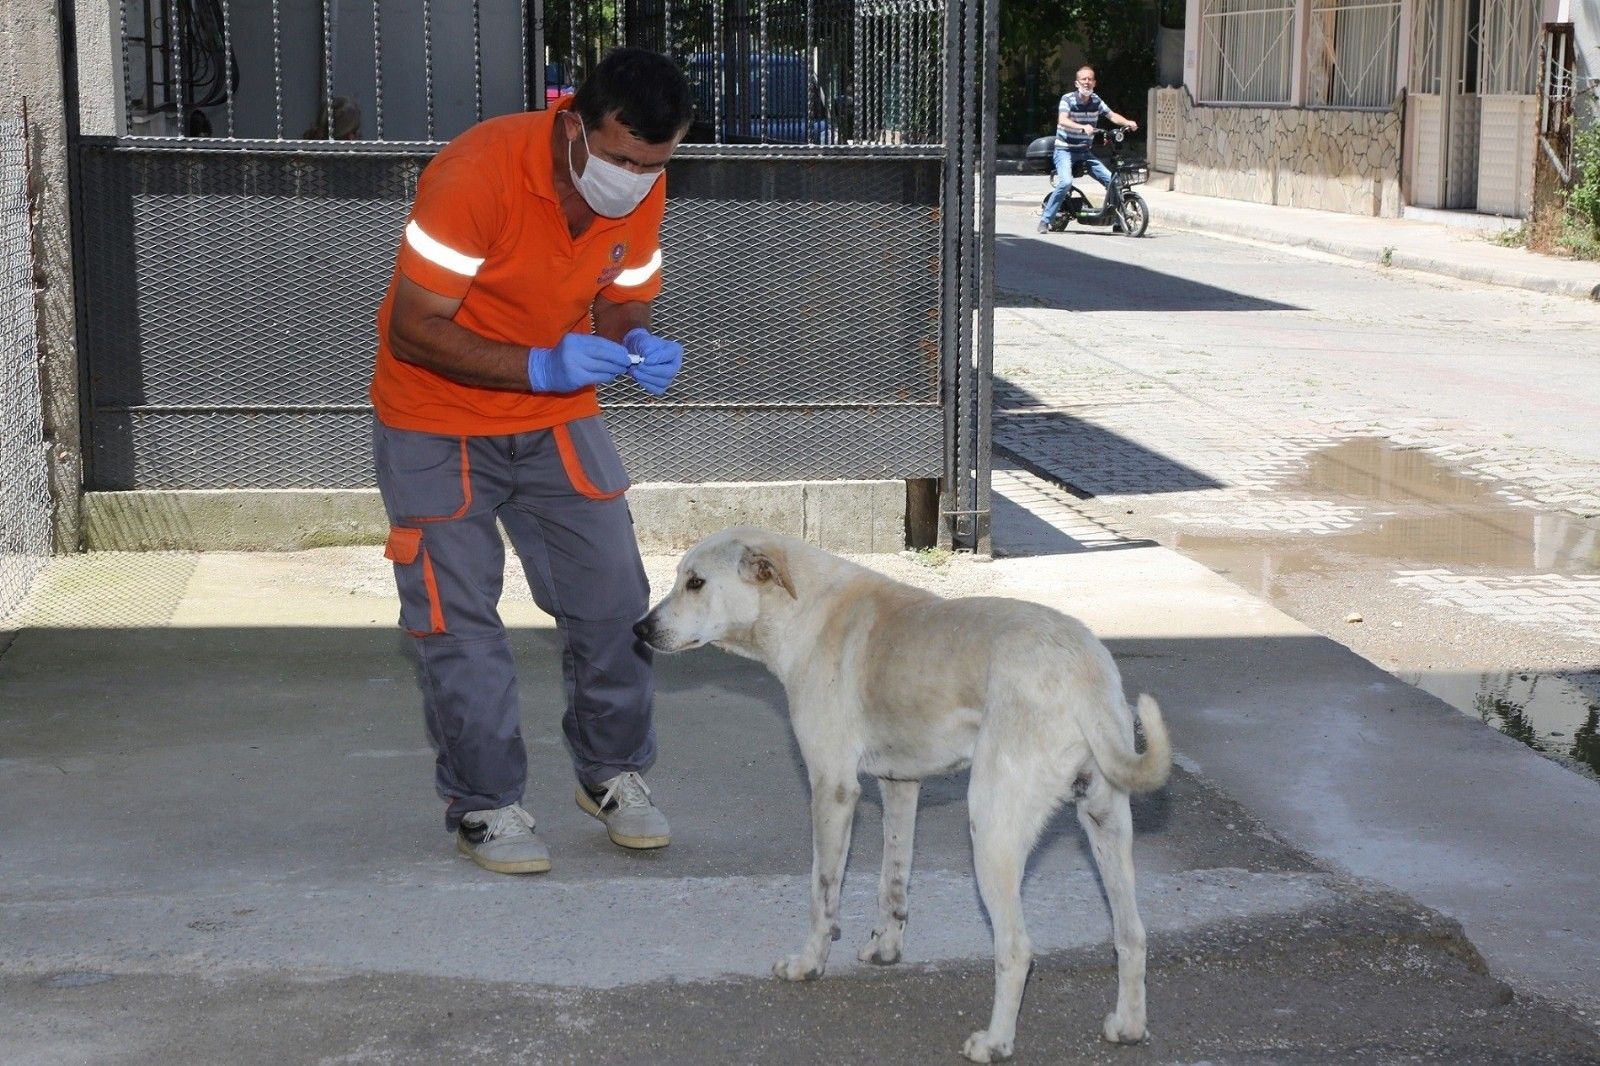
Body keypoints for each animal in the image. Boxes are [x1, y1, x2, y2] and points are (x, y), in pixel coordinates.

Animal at [634, 527, 1172, 1062]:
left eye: (696, 582)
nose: (640, 629)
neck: (806, 610)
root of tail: (1085, 667)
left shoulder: (832, 789)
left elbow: (822, 893)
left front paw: (809, 963)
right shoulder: (900, 787)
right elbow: (892, 882)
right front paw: (886, 951)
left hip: (992, 831)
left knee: (1017, 949)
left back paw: (995, 1042)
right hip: (1106, 823)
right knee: (1132, 934)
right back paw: (1128, 1025)